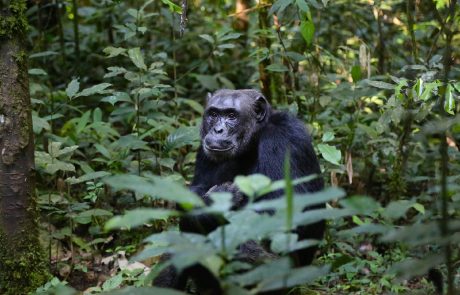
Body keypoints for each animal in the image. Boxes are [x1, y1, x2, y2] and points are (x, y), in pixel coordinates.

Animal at [156, 89, 326, 294]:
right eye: (213, 114)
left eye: (231, 116)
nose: (218, 130)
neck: (254, 140)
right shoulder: (203, 150)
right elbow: (197, 190)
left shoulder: (284, 139)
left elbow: (285, 213)